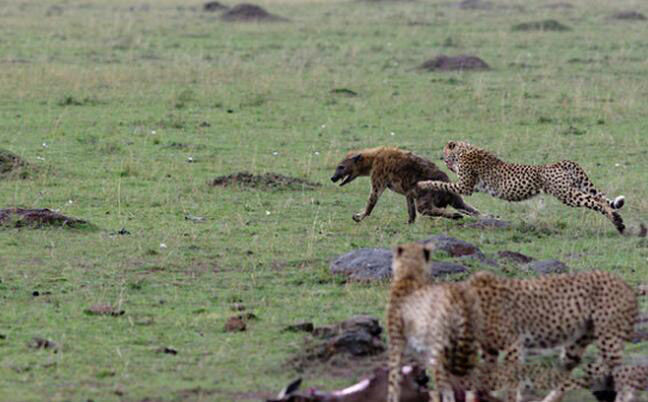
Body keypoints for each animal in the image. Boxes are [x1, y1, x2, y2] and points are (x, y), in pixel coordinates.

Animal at [332, 147, 478, 225]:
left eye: (341, 167)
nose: (332, 178)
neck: (372, 160)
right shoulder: (409, 191)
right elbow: (410, 208)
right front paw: (409, 222)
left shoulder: (379, 176)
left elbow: (372, 199)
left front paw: (358, 216)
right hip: (455, 198)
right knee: (468, 207)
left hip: (427, 192)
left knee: (425, 209)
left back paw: (455, 215)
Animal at [418, 141, 624, 232]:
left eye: (445, 155)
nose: (445, 161)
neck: (465, 149)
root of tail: (561, 162)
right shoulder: (473, 187)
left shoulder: (465, 186)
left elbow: (441, 184)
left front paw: (423, 183)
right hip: (574, 188)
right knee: (598, 198)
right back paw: (618, 219)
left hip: (567, 194)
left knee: (597, 202)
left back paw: (617, 221)